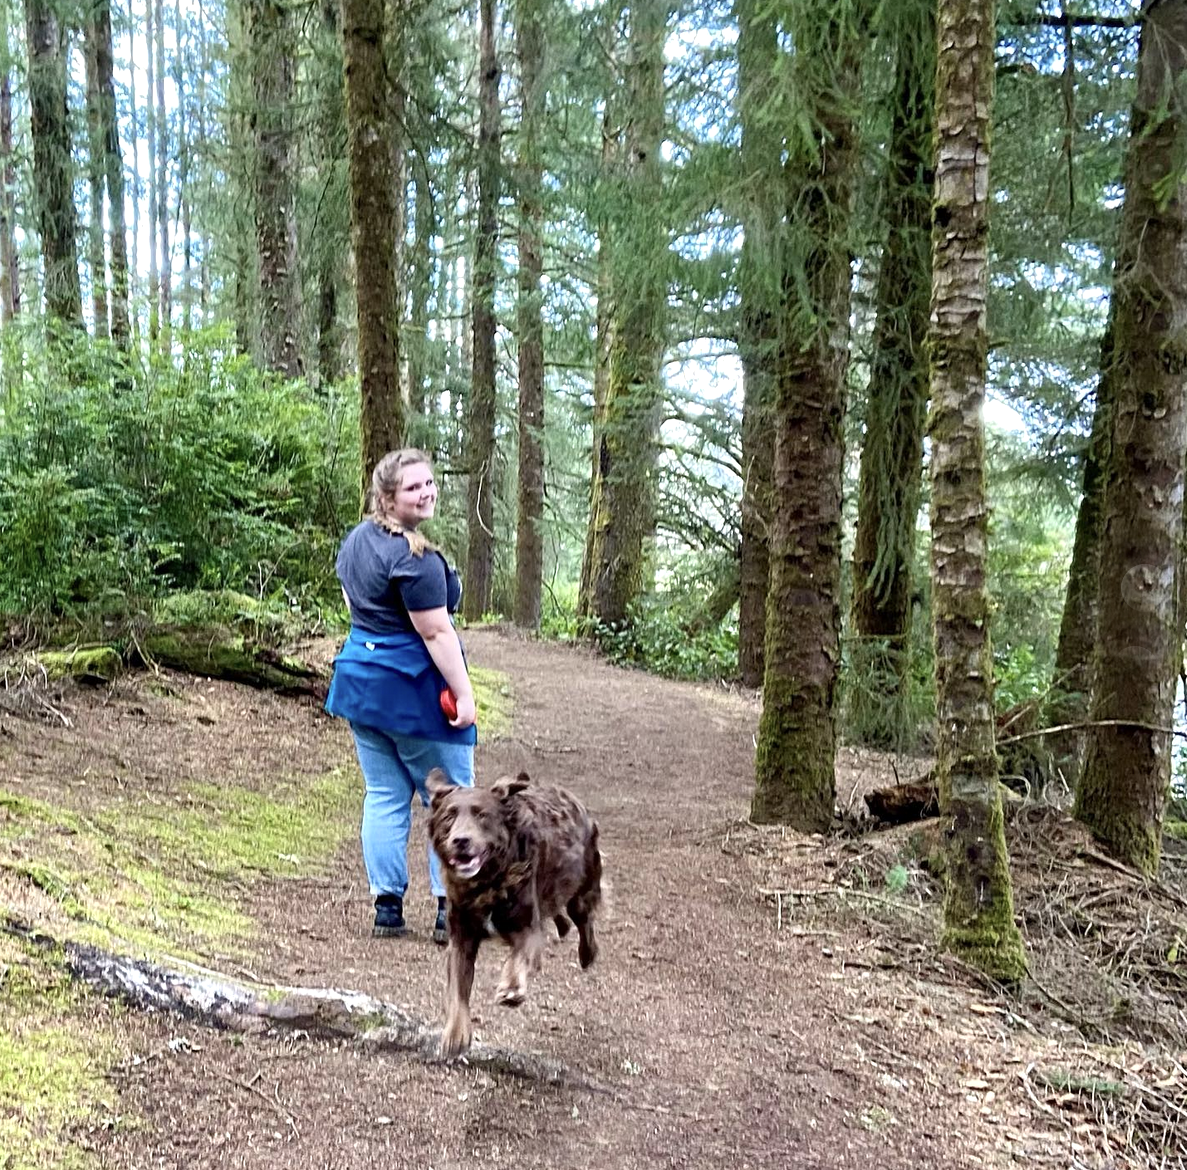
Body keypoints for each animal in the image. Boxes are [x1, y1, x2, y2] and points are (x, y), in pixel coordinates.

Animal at [427, 764, 602, 1058]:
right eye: (450, 815)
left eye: (482, 815)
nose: (461, 840)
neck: (489, 881)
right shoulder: (462, 937)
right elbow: (458, 990)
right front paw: (455, 1035)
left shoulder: (526, 927)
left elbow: (518, 957)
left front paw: (510, 989)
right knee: (561, 918)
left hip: (581, 886)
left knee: (583, 919)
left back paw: (587, 954)